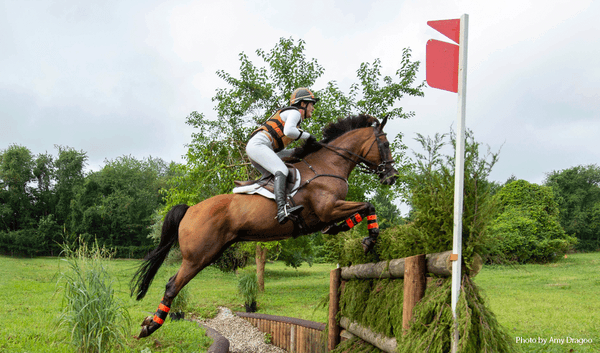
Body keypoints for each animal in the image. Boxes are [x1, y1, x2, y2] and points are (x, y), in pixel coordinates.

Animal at [131, 114, 398, 336]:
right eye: (385, 145)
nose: (392, 176)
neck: (328, 166)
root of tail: (190, 209)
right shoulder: (329, 208)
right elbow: (368, 206)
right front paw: (369, 239)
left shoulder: (330, 212)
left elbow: (364, 209)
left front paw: (342, 229)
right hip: (198, 256)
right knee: (172, 285)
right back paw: (151, 326)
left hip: (209, 253)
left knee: (173, 283)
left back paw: (150, 322)